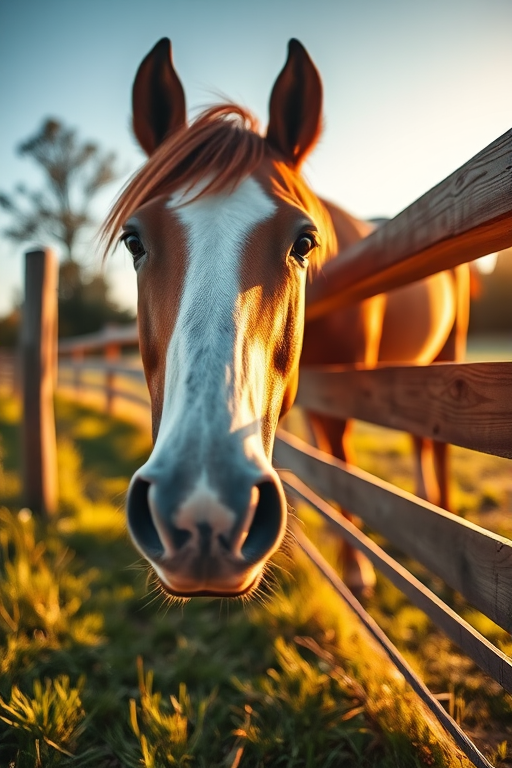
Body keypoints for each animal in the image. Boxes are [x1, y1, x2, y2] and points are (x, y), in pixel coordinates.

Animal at [103, 37, 469, 599]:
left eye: (304, 242)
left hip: (446, 356)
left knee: (436, 439)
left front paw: (356, 573)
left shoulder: (343, 395)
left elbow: (341, 468)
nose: (203, 516)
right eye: (133, 240)